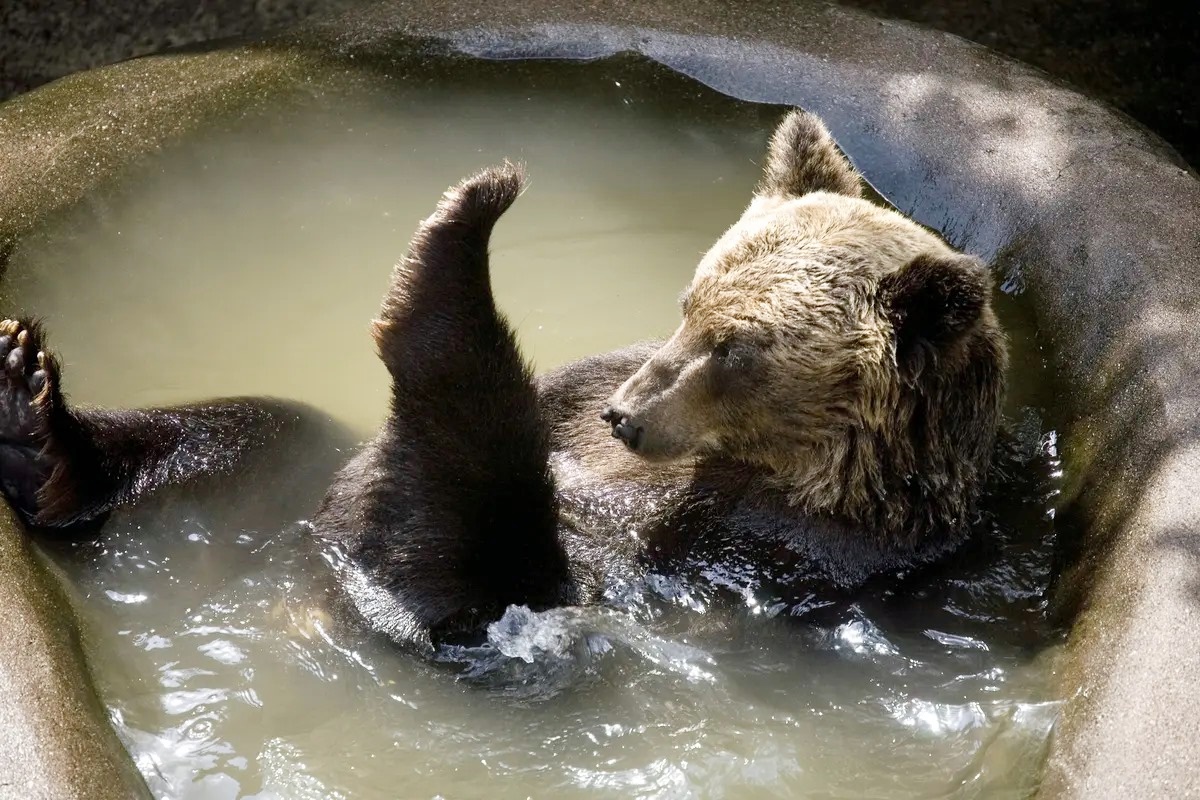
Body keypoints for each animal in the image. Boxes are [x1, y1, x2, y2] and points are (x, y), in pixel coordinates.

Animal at [0, 110, 1008, 652]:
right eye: (690, 301)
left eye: (738, 348)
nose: (628, 419)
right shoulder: (591, 387)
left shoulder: (773, 550)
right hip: (305, 474)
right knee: (255, 429)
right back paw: (32, 415)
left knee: (473, 507)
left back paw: (454, 254)